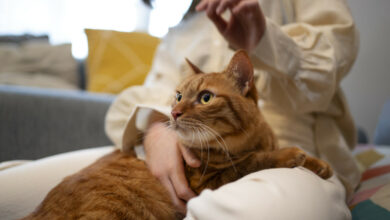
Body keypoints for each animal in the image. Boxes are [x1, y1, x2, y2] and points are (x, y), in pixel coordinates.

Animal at [22, 50, 332, 219]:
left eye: (206, 97)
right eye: (179, 95)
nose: (173, 112)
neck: (245, 142)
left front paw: (320, 164)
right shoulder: (208, 183)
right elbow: (255, 160)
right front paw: (291, 154)